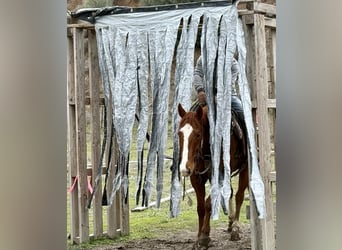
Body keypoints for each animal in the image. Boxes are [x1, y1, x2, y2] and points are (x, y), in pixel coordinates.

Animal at [179, 103, 248, 248]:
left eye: (198, 134)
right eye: (179, 133)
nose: (184, 169)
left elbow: (208, 204)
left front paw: (205, 237)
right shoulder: (196, 178)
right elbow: (200, 207)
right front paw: (198, 237)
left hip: (246, 168)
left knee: (239, 195)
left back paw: (235, 228)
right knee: (230, 193)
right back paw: (230, 223)